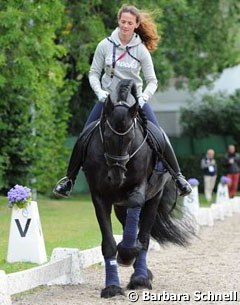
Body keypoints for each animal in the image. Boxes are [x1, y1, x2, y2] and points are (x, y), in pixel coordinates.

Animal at [82, 79, 195, 296]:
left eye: (130, 138)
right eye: (107, 136)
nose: (116, 176)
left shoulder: (139, 189)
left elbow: (139, 231)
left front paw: (127, 255)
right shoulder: (100, 197)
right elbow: (108, 244)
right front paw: (112, 286)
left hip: (154, 198)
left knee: (144, 236)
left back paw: (140, 277)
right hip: (119, 206)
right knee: (132, 227)